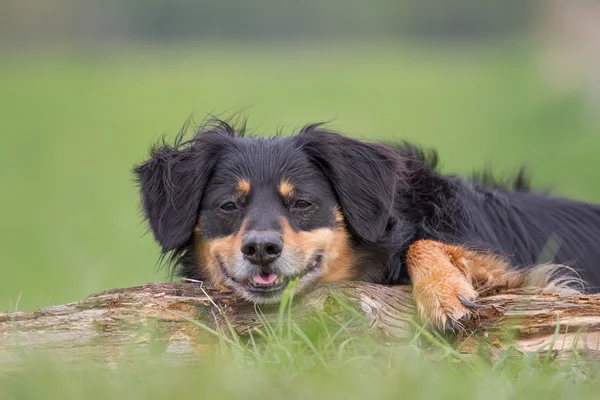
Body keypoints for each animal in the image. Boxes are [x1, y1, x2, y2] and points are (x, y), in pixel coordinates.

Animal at [132, 119, 600, 332]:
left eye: (303, 203)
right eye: (228, 205)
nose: (261, 249)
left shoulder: (527, 274)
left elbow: (423, 243)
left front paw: (444, 293)